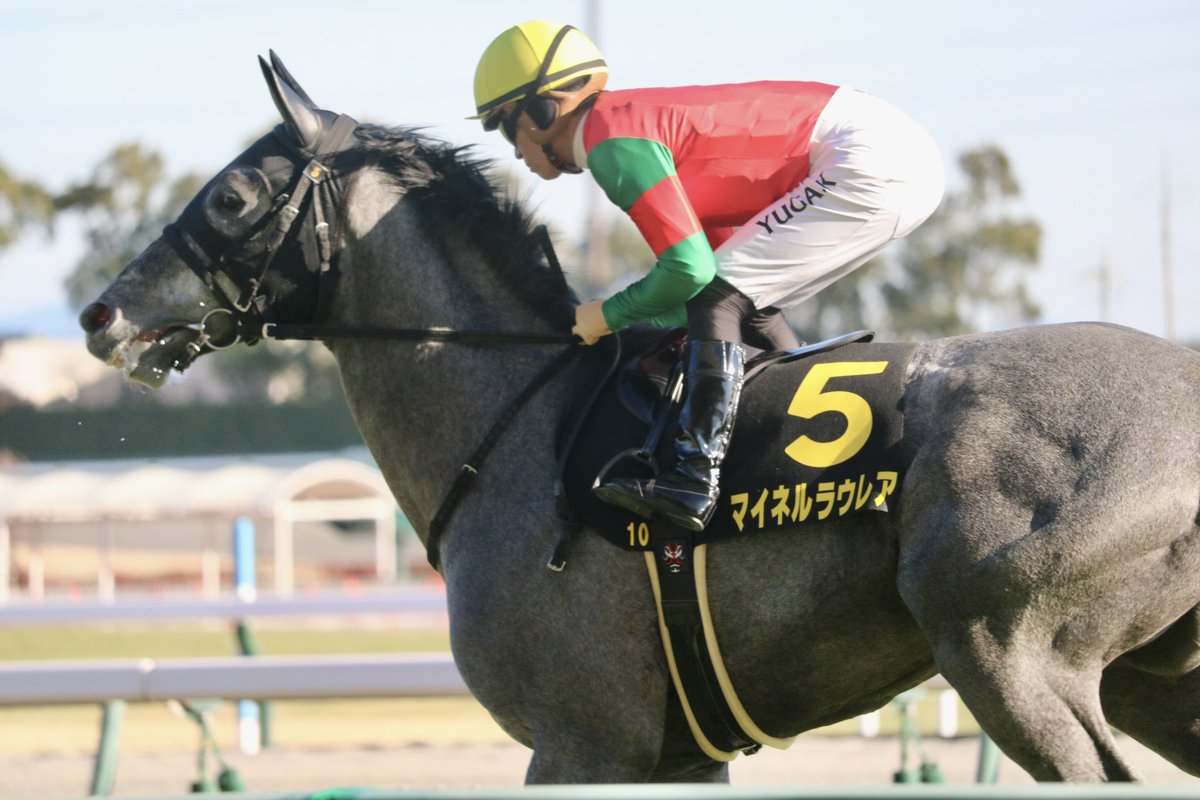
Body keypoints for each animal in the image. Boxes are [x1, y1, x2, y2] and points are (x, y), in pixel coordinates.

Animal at [79, 54, 1200, 782]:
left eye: (234, 196)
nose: (100, 315)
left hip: (1005, 651)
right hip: (1149, 674)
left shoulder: (584, 742)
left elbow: (699, 272)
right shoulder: (672, 755)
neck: (523, 422)